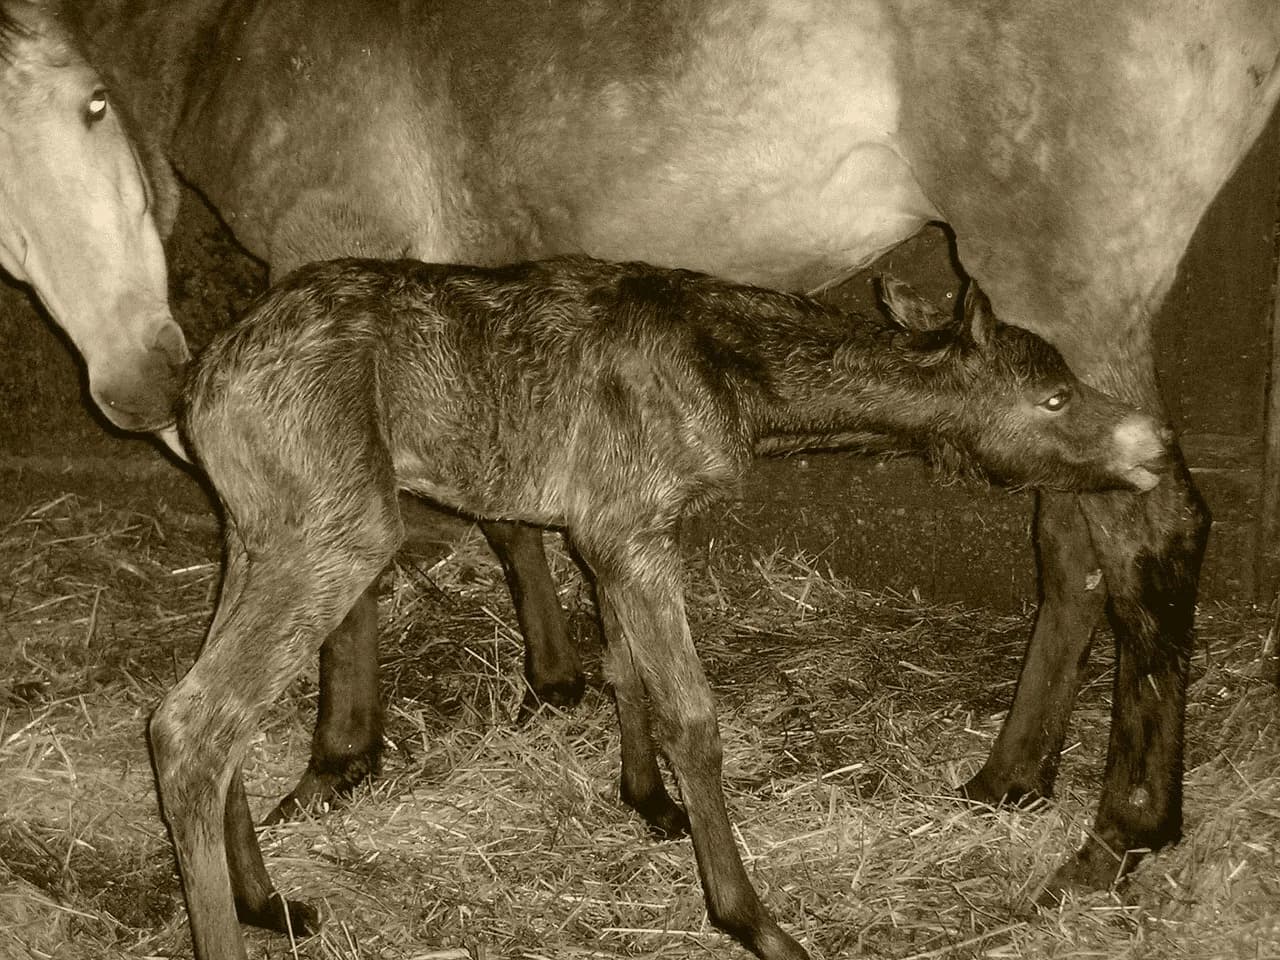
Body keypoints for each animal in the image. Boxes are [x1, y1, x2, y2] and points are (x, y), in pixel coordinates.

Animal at [77, 0, 1280, 904]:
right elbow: (607, 625)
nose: (1144, 437)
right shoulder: (606, 504)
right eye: (1046, 391)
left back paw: (1102, 821)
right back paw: (1043, 792)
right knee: (1089, 541)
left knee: (1138, 533)